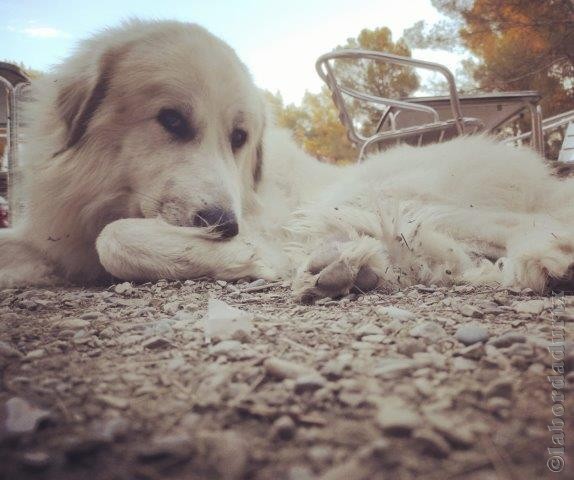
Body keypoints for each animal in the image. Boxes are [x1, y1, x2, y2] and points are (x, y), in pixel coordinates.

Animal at [1, 21, 574, 304]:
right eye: (171, 120)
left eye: (239, 137)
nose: (225, 225)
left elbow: (115, 240)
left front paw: (245, 258)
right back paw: (346, 267)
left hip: (381, 197)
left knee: (529, 228)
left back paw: (549, 263)